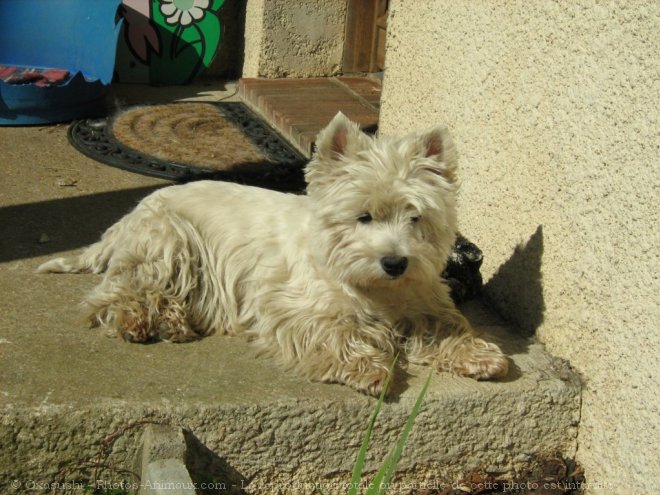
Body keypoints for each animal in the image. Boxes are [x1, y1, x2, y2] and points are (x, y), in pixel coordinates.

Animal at [38, 112, 508, 396]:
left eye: (415, 217)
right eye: (363, 216)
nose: (395, 262)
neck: (374, 289)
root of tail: (126, 218)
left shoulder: (422, 299)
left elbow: (444, 325)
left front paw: (480, 356)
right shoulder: (292, 305)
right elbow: (334, 332)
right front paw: (369, 367)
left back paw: (170, 322)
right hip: (170, 242)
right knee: (116, 294)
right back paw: (141, 321)